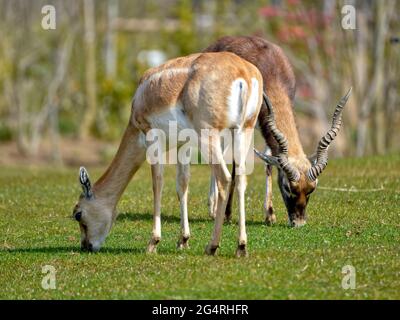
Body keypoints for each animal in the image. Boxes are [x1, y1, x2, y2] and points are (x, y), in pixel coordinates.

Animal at [72, 53, 264, 258]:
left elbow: (157, 183)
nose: (86, 245)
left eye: (78, 214)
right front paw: (183, 240)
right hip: (244, 131)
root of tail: (243, 72)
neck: (142, 96)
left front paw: (153, 242)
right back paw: (241, 246)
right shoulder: (184, 143)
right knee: (241, 179)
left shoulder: (151, 136)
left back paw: (212, 246)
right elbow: (182, 184)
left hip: (209, 136)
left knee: (224, 178)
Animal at [205, 37, 352, 228]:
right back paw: (213, 208)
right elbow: (237, 164)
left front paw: (270, 214)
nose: (299, 222)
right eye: (288, 186)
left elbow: (268, 162)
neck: (269, 72)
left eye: (311, 189)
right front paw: (228, 214)